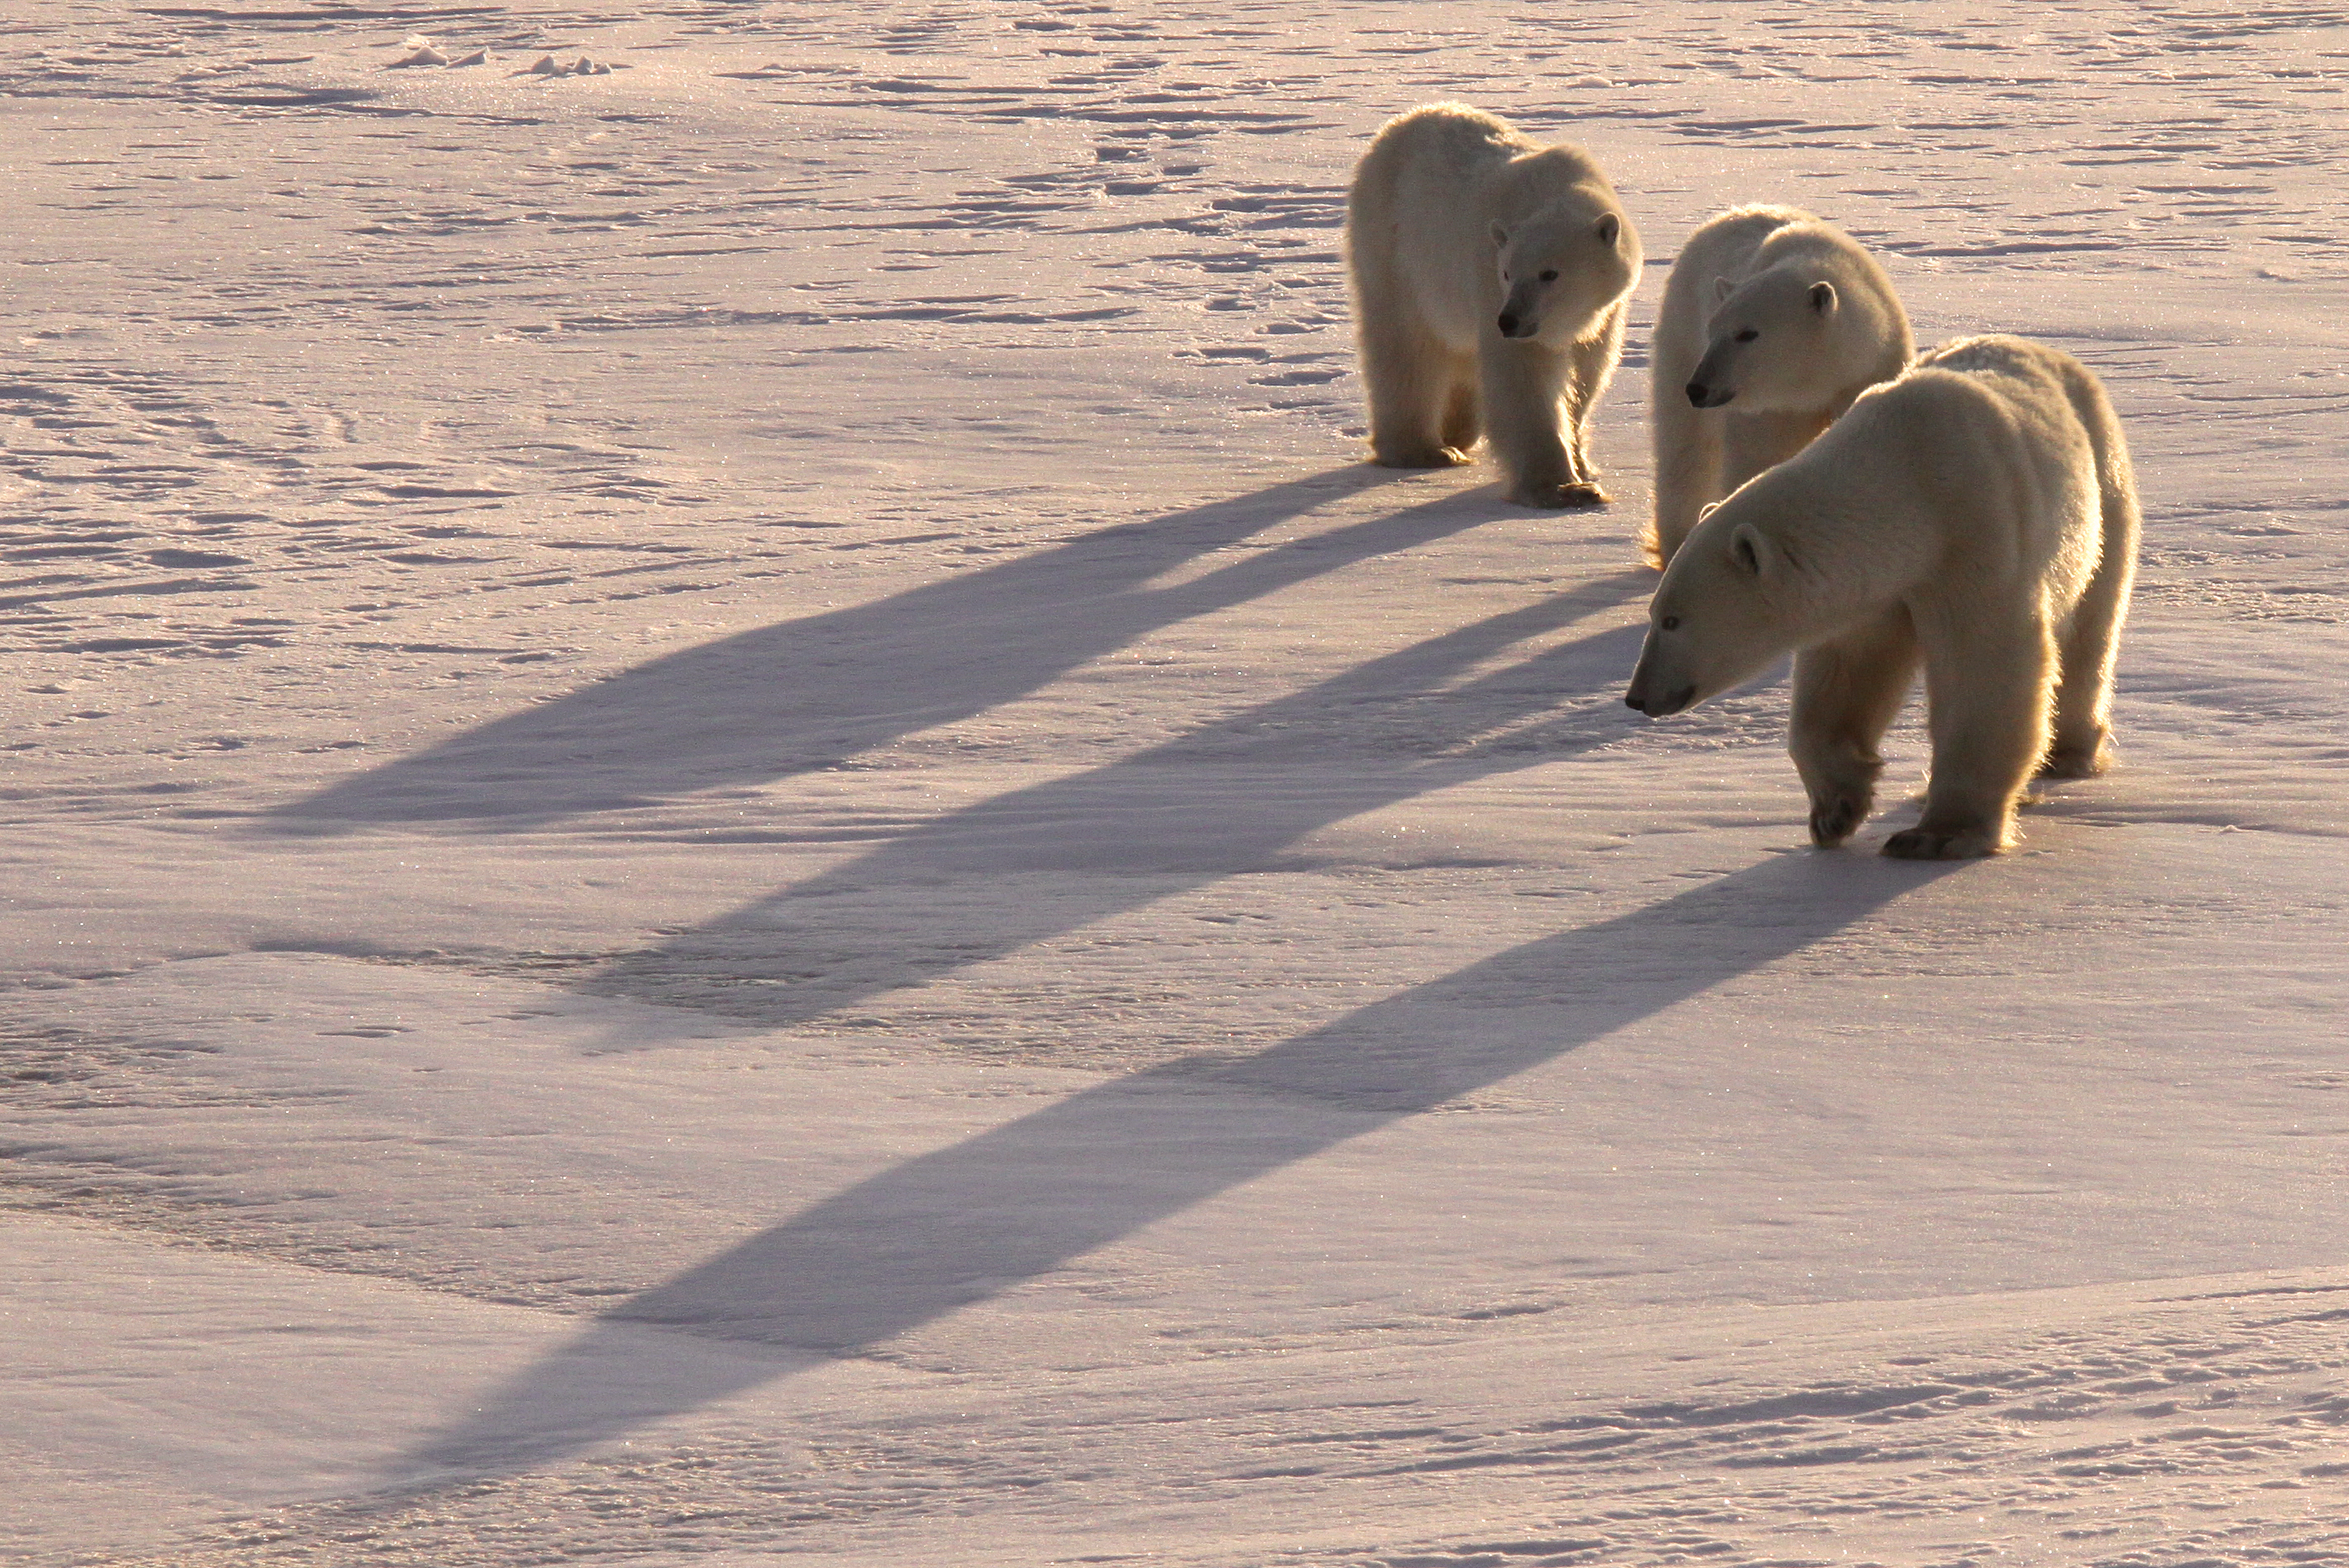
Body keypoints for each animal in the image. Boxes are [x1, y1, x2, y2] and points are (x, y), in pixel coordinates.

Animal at [1345, 103, 1642, 508]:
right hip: (1395, 247)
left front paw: (1583, 464)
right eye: (1507, 272)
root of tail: (1401, 124)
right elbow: (1524, 379)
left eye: (1550, 274)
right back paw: (1423, 449)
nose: (1509, 321)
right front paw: (1563, 489)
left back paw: (1455, 430)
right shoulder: (1489, 282)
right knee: (1406, 344)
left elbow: (1586, 375)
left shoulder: (1605, 314)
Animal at [1623, 334, 2139, 859]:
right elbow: (1849, 670)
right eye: (1656, 613)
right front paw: (1836, 809)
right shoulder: (1875, 586)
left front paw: (1937, 834)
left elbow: (1984, 663)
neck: (1908, 483)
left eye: (1672, 619)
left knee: (2092, 626)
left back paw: (2068, 752)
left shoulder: (1975, 532)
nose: (1637, 696)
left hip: (2104, 488)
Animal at [1647, 205, 1912, 567]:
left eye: (1748, 333)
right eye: (1713, 330)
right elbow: (1761, 460)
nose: (1699, 388)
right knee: (1686, 446)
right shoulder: (1772, 407)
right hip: (1681, 333)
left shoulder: (1871, 370)